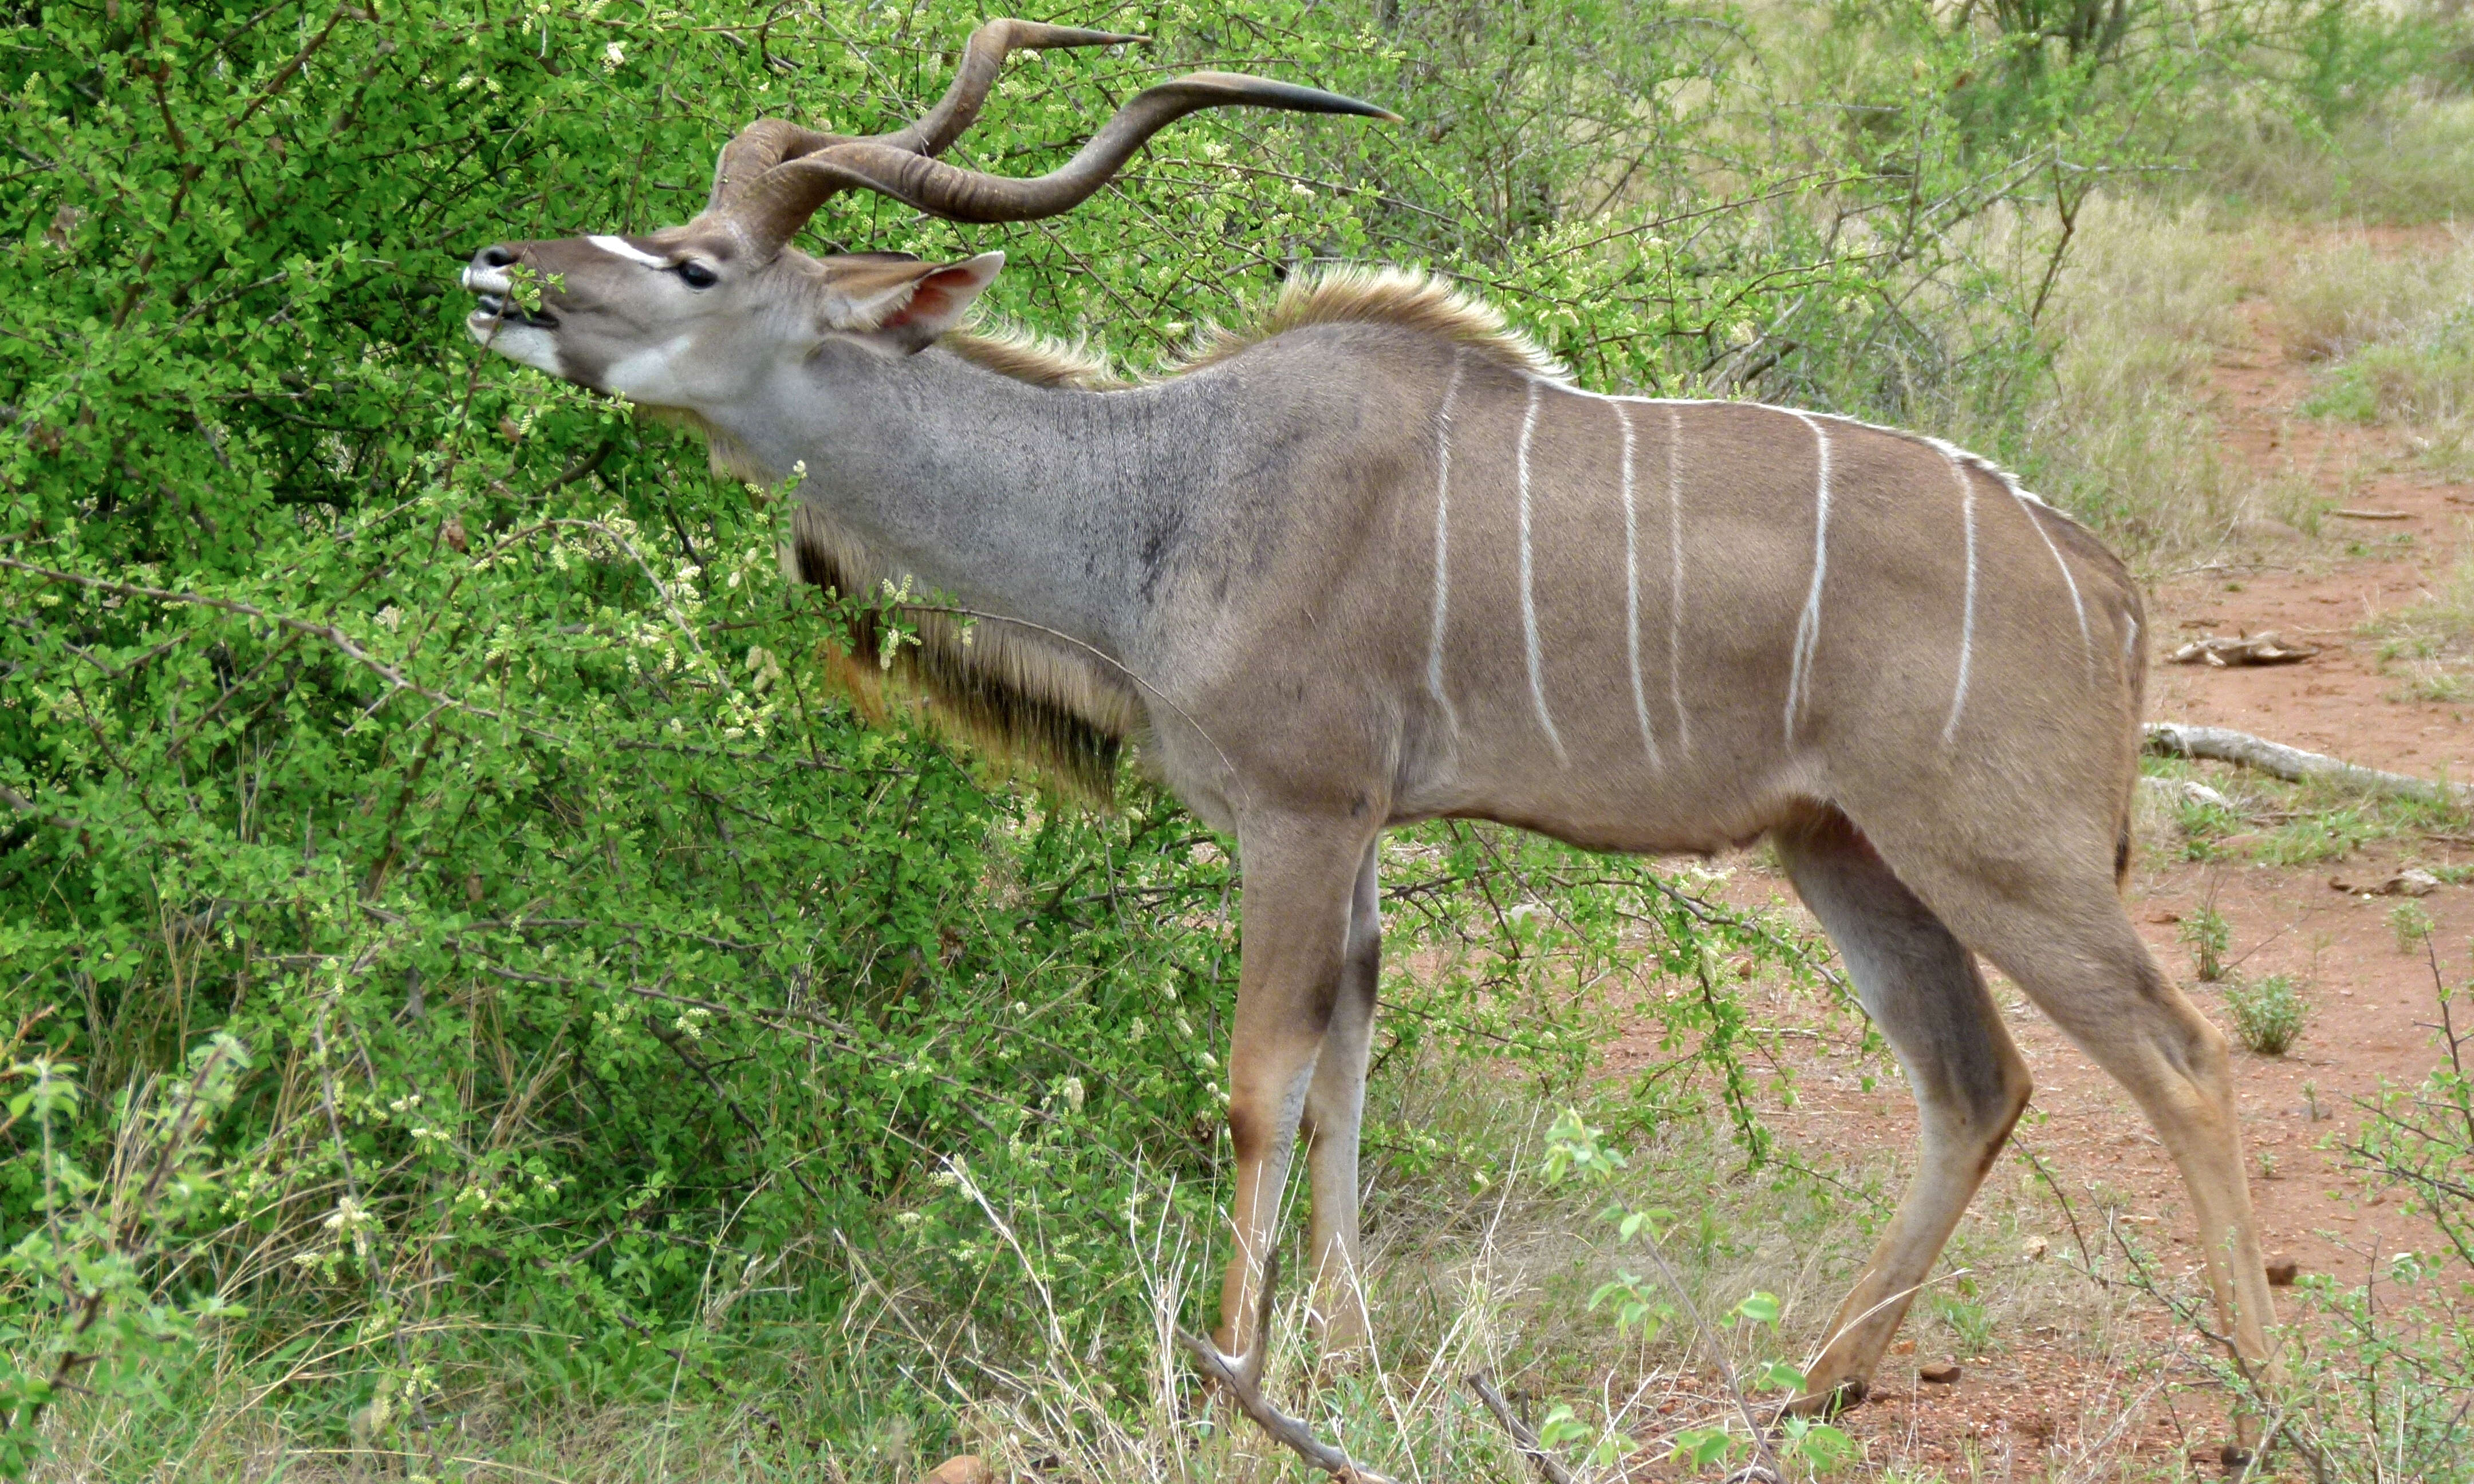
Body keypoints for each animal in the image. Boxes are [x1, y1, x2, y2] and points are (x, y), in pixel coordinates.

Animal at [460, 20, 2276, 1464]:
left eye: (695, 264)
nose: (496, 273)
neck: (1159, 501)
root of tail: (2107, 584)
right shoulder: (1361, 847)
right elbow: (1348, 1070)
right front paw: (1345, 1361)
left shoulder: (1303, 815)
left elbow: (1263, 1082)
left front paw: (1231, 1379)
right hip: (1844, 849)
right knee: (1977, 1080)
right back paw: (1814, 1389)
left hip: (1996, 851)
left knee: (2180, 1055)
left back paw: (2261, 1408)